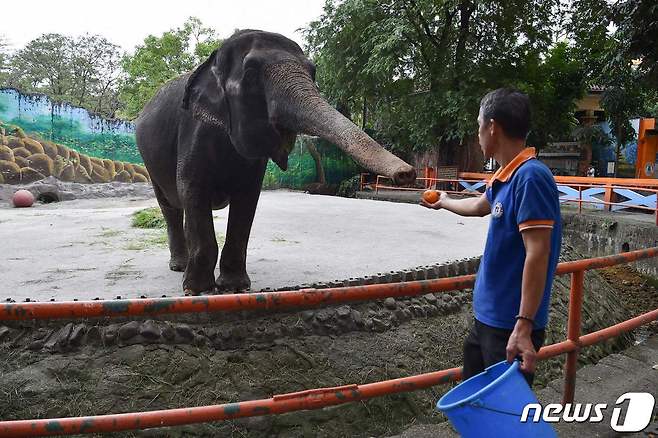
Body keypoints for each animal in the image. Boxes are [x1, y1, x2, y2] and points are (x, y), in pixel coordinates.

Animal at [136, 30, 416, 294]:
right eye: (250, 73)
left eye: (313, 71)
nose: (407, 174)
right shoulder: (194, 130)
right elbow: (192, 189)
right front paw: (197, 290)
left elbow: (247, 198)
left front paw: (235, 287)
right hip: (149, 161)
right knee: (170, 206)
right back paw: (179, 267)